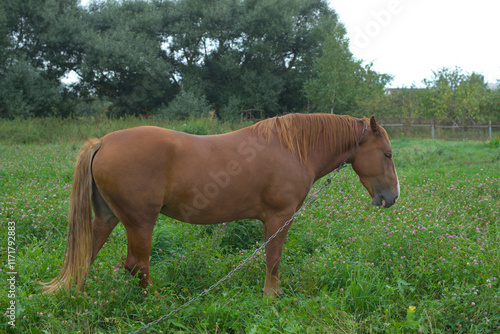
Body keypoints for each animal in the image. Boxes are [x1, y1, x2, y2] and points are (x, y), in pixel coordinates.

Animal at [45, 113, 400, 296]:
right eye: (387, 154)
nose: (392, 197)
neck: (292, 149)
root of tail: (102, 142)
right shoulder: (279, 218)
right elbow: (274, 260)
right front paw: (271, 297)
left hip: (107, 218)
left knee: (86, 255)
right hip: (140, 222)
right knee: (136, 265)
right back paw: (156, 300)